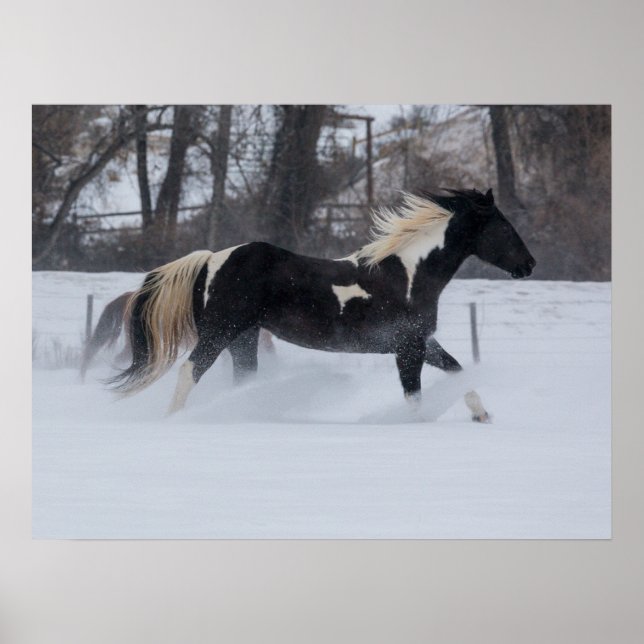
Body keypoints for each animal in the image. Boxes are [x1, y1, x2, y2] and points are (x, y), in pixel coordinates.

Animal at [110, 188, 535, 420]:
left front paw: (482, 415)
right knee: (190, 371)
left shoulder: (422, 342)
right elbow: (414, 396)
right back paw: (175, 419)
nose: (529, 265)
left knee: (241, 377)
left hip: (244, 337)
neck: (408, 275)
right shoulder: (408, 347)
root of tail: (212, 259)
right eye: (504, 228)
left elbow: (459, 372)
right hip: (220, 332)